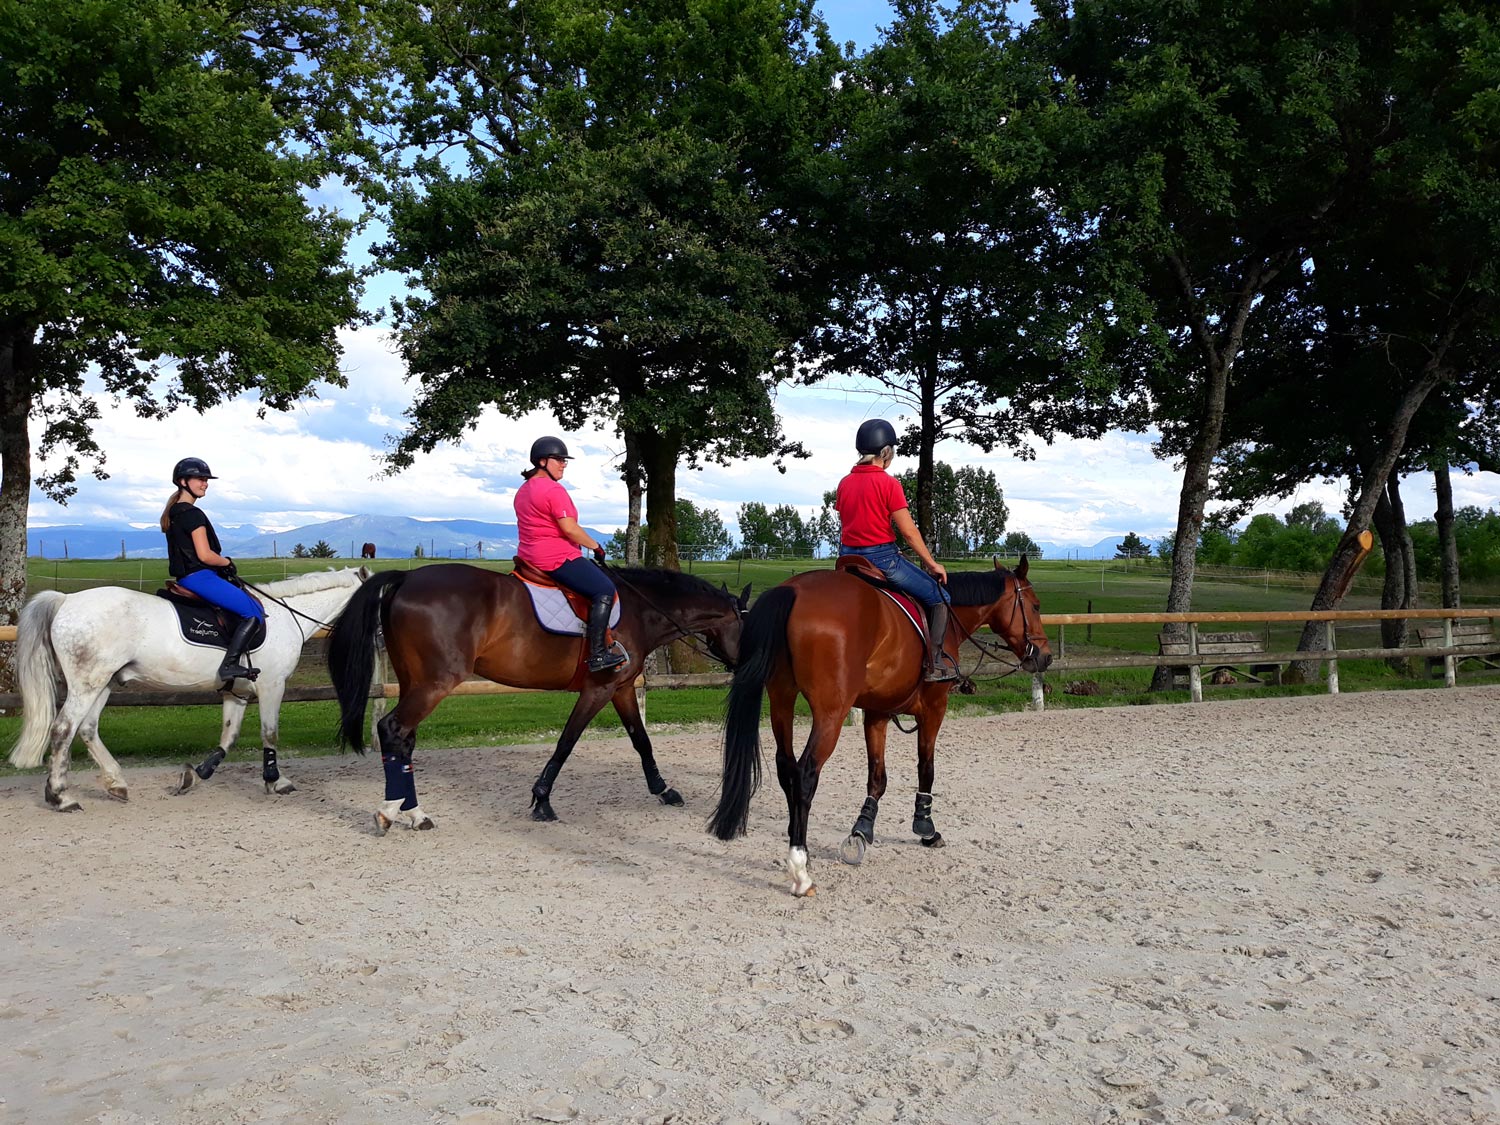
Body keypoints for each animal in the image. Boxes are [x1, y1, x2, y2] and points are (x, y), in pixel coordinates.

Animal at [7, 573, 370, 810]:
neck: (284, 617)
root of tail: (67, 600)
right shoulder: (272, 685)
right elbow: (270, 734)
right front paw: (276, 781)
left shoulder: (237, 692)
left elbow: (229, 737)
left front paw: (196, 774)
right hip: (87, 683)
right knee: (63, 729)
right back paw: (61, 797)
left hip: (104, 683)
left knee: (87, 728)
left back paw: (116, 784)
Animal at [328, 567, 750, 834]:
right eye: (748, 625)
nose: (744, 666)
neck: (640, 609)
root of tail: (406, 577)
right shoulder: (598, 690)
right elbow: (567, 742)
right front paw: (542, 800)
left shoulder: (623, 688)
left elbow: (641, 740)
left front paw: (664, 789)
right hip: (434, 683)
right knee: (392, 729)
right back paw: (389, 811)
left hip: (415, 681)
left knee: (405, 740)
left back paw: (414, 813)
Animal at [708, 558, 1050, 900]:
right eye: (1035, 605)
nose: (1045, 657)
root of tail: (793, 589)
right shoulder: (934, 709)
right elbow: (926, 769)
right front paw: (925, 827)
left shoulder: (877, 713)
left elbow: (877, 777)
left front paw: (862, 830)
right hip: (830, 713)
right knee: (805, 774)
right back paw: (801, 868)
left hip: (781, 699)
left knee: (786, 768)